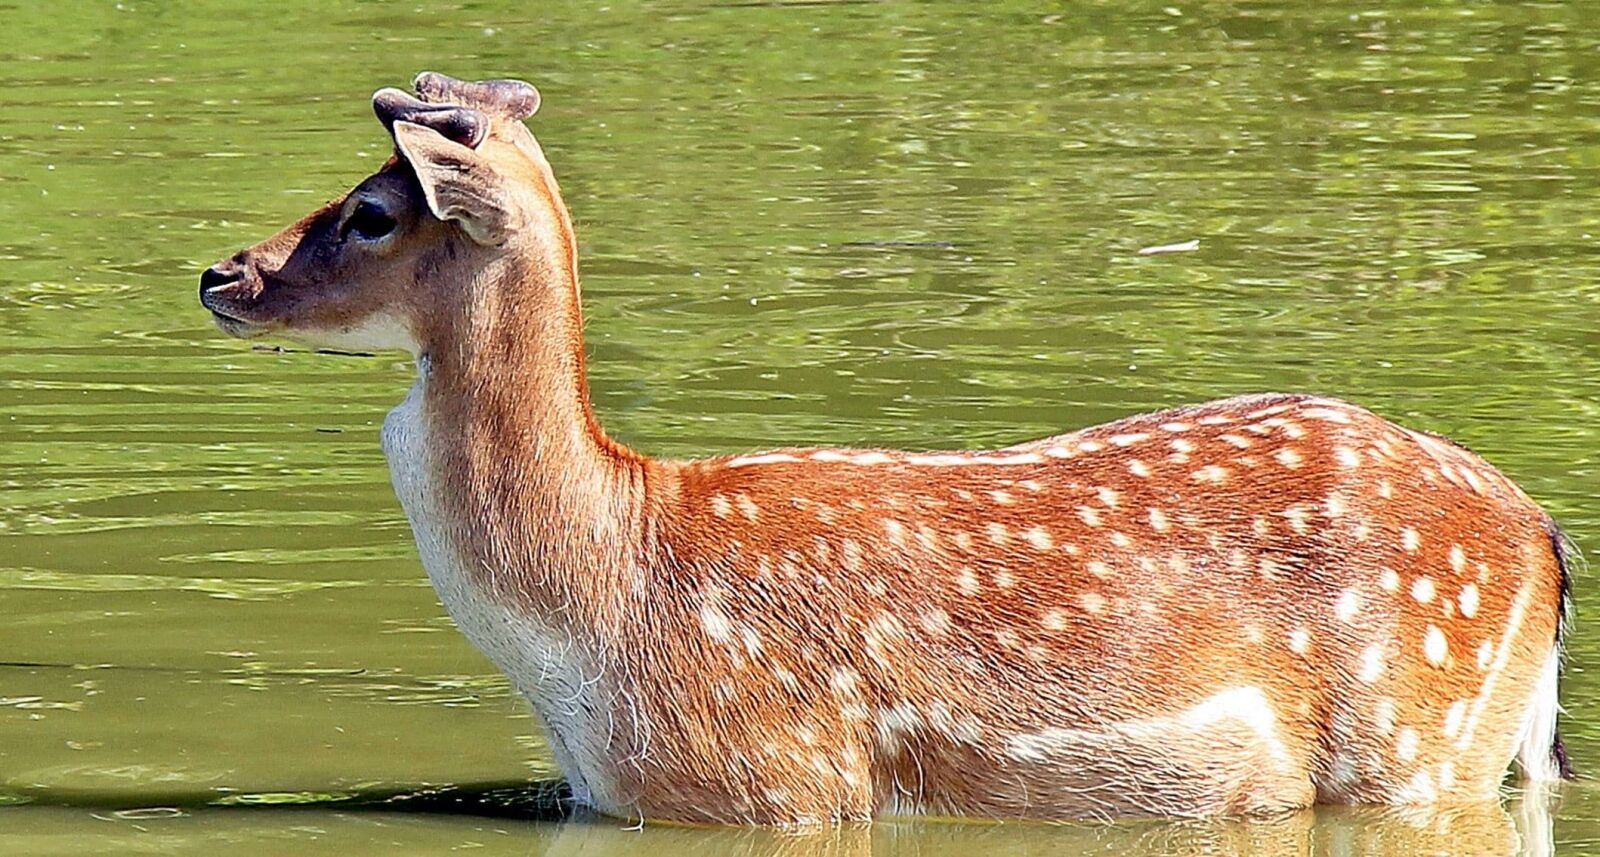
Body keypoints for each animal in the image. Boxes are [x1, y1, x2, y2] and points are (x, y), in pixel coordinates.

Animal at [197, 72, 1573, 826]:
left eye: (372, 213)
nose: (222, 272)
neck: (597, 616)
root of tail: (1546, 537)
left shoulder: (781, 781)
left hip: (1411, 738)